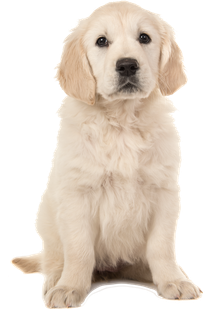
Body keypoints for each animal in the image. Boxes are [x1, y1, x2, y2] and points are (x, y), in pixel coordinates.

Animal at [10, 0, 203, 308]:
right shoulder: (77, 195)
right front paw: (70, 287)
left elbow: (161, 246)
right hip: (47, 220)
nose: (127, 65)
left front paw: (173, 281)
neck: (122, 121)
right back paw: (55, 280)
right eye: (101, 41)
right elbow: (79, 249)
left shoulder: (163, 192)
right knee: (53, 259)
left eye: (144, 38)